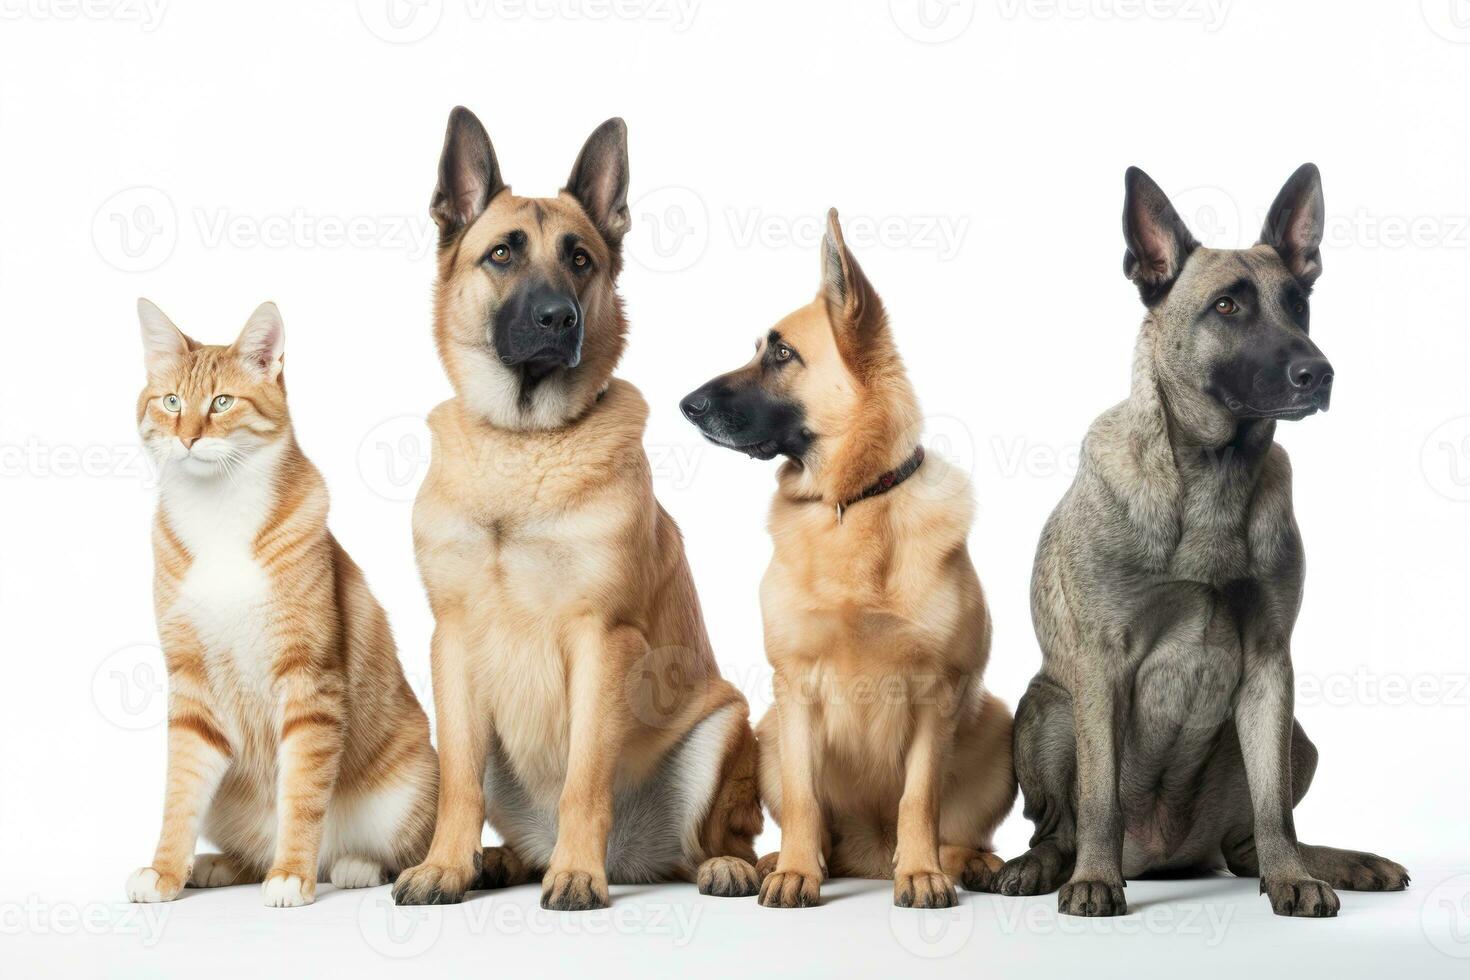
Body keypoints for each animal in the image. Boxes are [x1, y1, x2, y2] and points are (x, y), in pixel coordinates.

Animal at [127, 301, 438, 910]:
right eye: (171, 401)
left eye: (222, 402)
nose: (188, 438)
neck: (218, 515)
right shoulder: (191, 687)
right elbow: (179, 795)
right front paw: (164, 870)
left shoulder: (308, 681)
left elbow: (301, 793)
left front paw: (292, 872)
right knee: (244, 846)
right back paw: (217, 865)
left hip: (411, 782)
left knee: (397, 852)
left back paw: (352, 864)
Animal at [993, 163, 1405, 922]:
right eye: (1227, 307)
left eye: (1299, 304)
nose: (1319, 373)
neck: (1214, 475)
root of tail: (1163, 855)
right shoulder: (1101, 667)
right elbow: (1099, 797)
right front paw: (1094, 881)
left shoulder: (1271, 667)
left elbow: (1274, 809)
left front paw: (1294, 877)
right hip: (1047, 710)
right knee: (1058, 827)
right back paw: (1040, 867)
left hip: (1297, 738)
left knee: (1253, 839)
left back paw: (1329, 862)